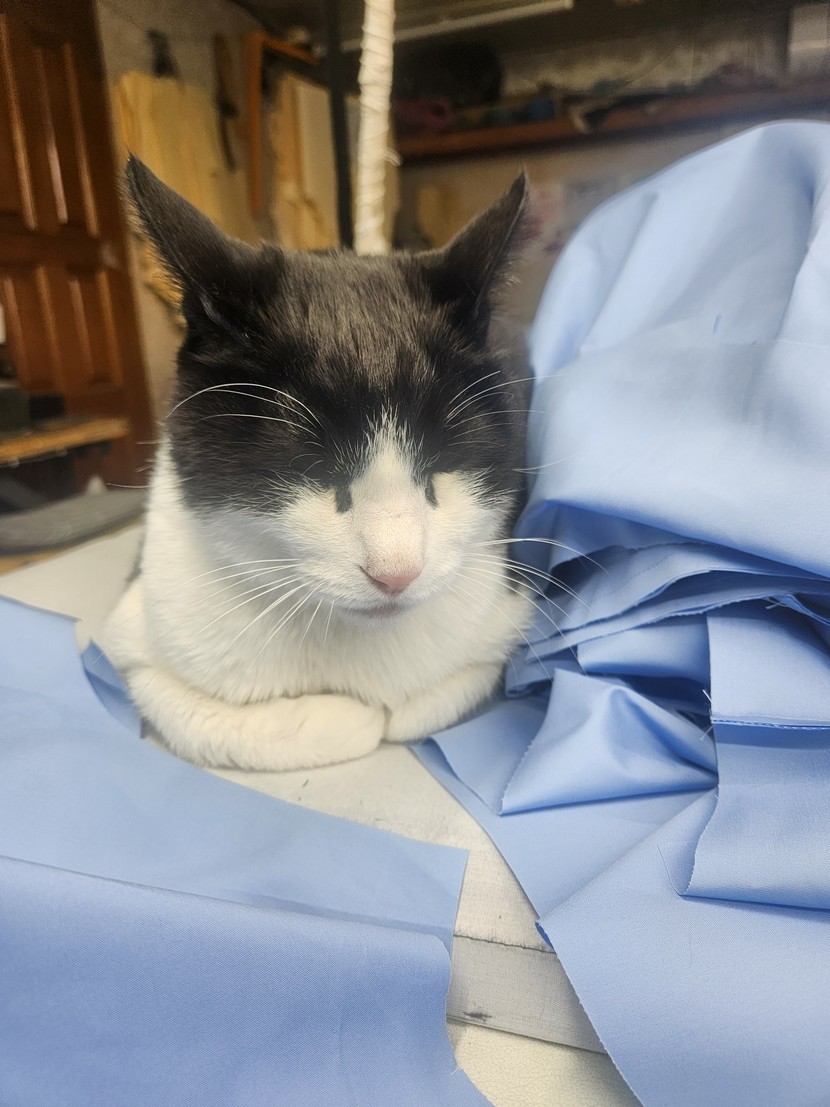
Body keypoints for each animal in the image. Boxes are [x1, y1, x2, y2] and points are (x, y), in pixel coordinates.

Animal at [101, 157, 536, 772]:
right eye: (312, 465)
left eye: (443, 462)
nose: (396, 571)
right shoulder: (135, 631)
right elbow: (194, 713)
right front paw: (345, 718)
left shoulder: (503, 612)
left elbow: (441, 694)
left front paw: (387, 709)